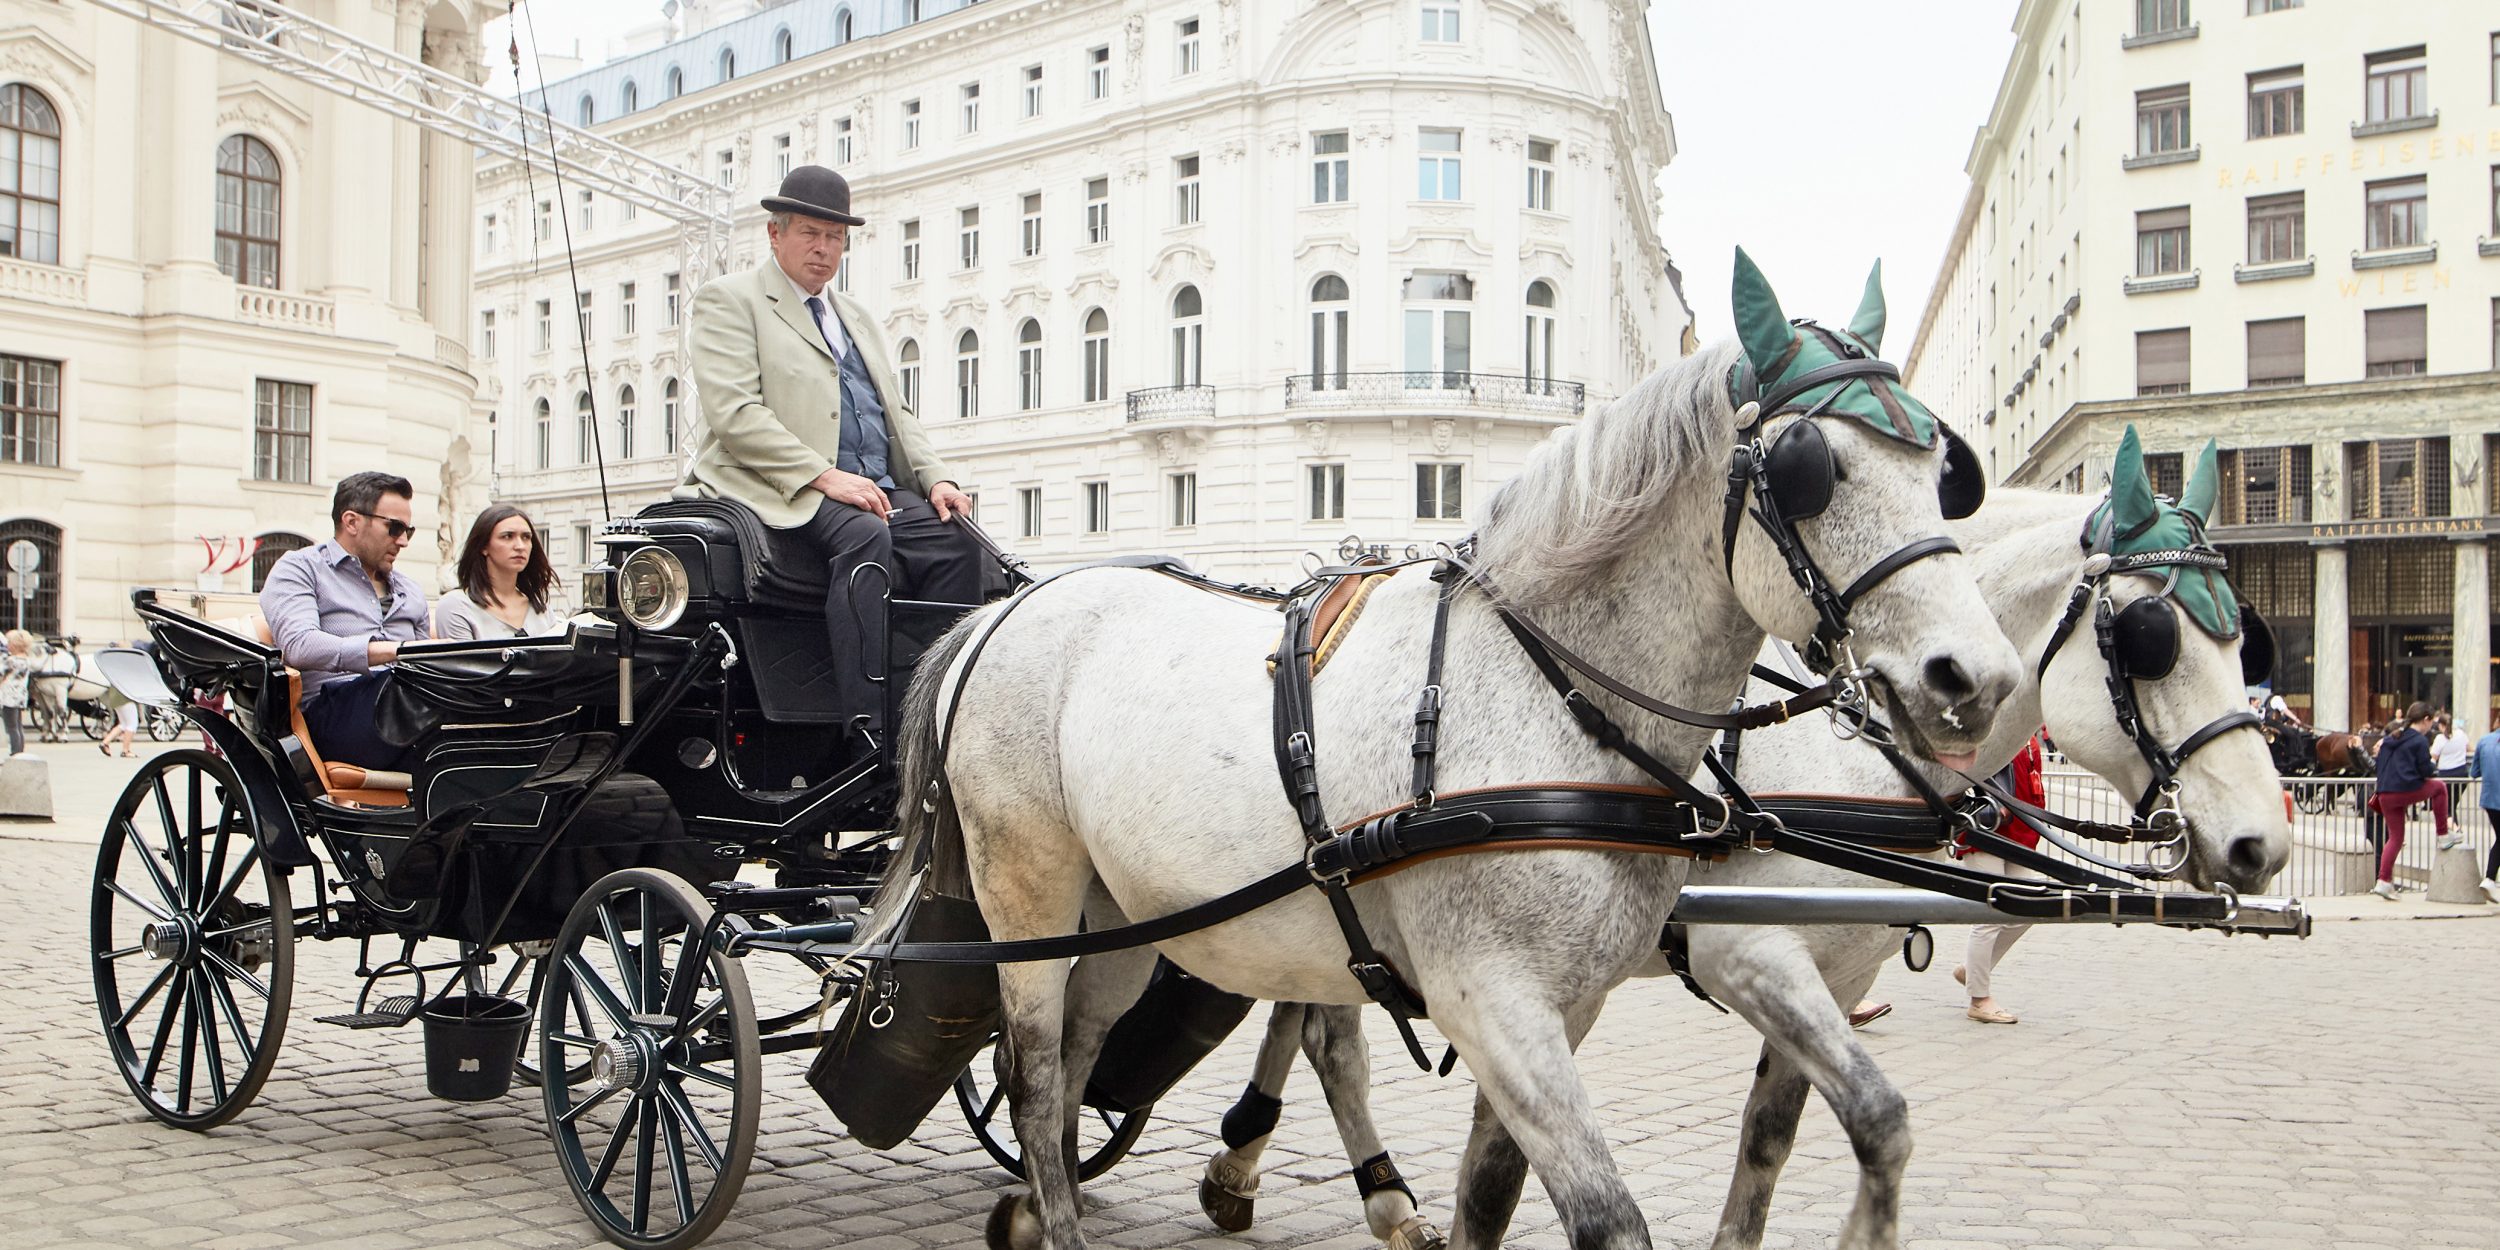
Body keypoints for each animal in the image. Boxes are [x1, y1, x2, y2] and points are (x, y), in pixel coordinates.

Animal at [870, 253, 2020, 1250]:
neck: (1548, 700)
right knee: (1032, 1075)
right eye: (1815, 468)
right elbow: (1610, 1219)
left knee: (1079, 1056)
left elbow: (1493, 1193)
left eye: (1943, 471)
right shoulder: (1504, 998)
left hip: (1126, 913)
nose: (1974, 679)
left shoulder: (1572, 1004)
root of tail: (1006, 610)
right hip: (1029, 890)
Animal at [1190, 432, 2290, 1250]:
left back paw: (1261, 1166)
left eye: (2244, 634)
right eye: (2151, 640)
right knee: (1322, 1031)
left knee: (1306, 1016)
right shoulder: (1748, 949)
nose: (2262, 846)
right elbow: (1874, 1115)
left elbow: (1772, 1139)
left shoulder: (1838, 970)